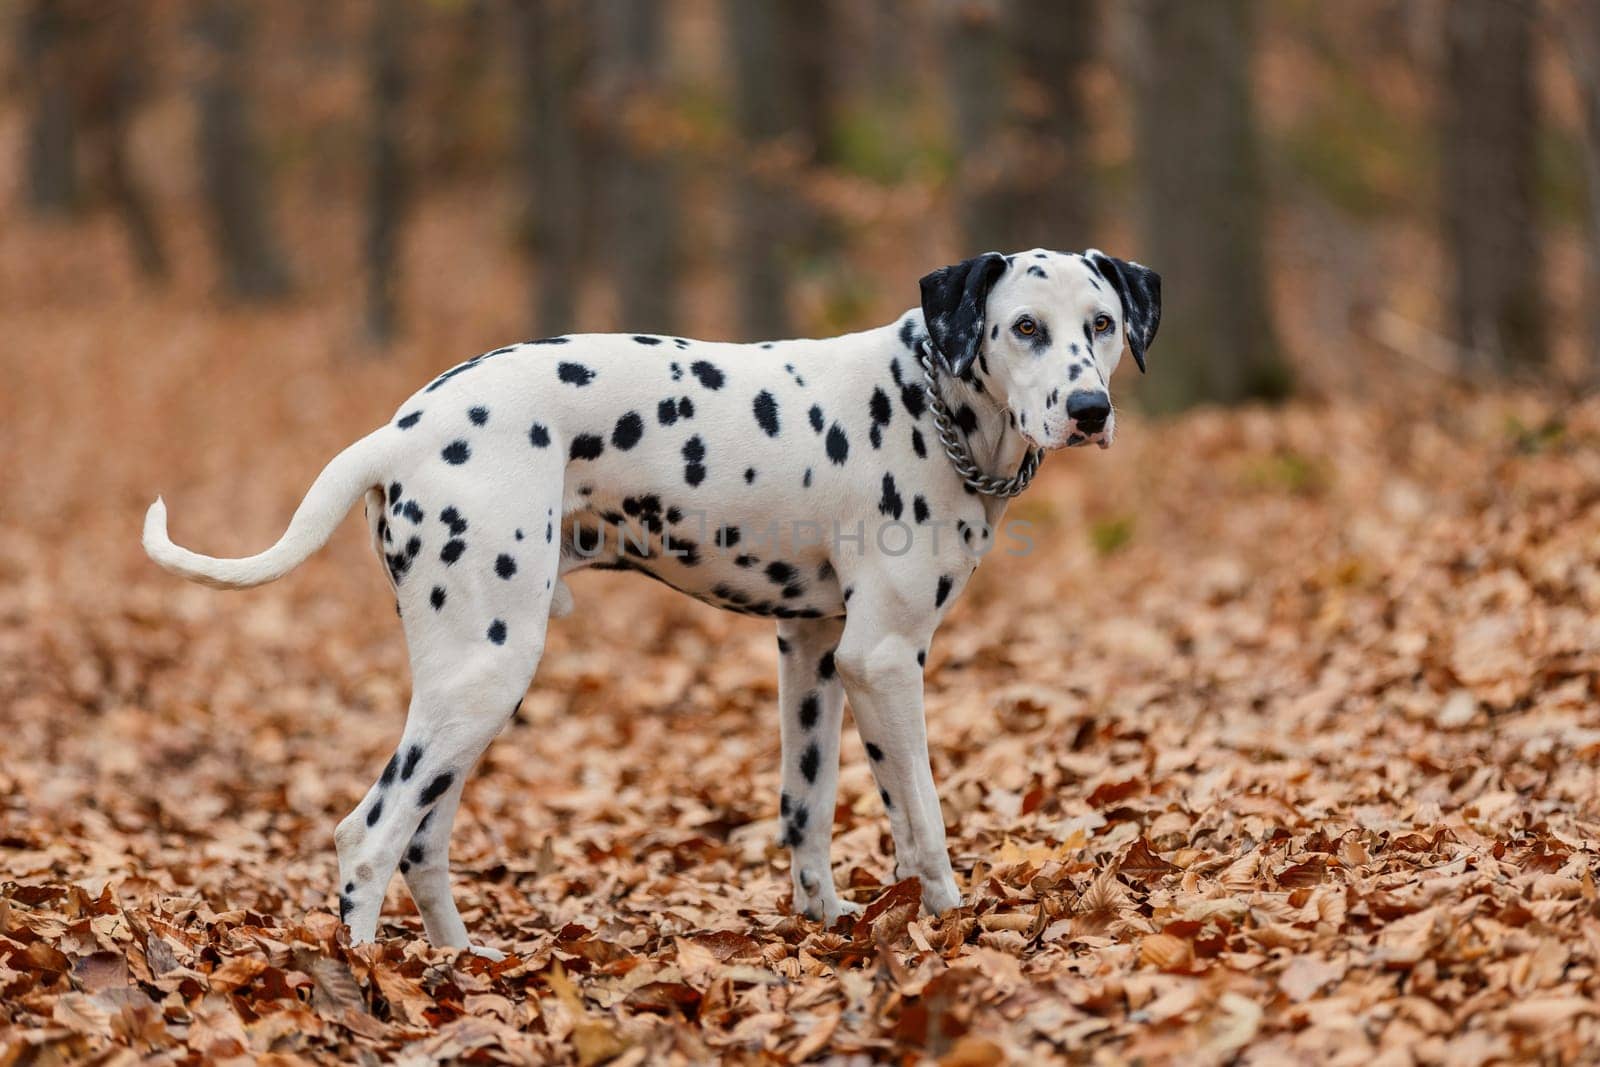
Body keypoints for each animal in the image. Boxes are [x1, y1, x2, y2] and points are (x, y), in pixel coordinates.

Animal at [140, 251, 1164, 959]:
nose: (1088, 408)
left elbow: (809, 806)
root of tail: (402, 428)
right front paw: (951, 927)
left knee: (421, 839)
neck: (926, 400)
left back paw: (459, 961)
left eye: (1103, 323)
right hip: (485, 674)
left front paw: (831, 919)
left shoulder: (818, 653)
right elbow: (925, 821)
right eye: (1023, 326)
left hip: (467, 688)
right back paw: (365, 984)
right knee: (368, 837)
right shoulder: (886, 657)